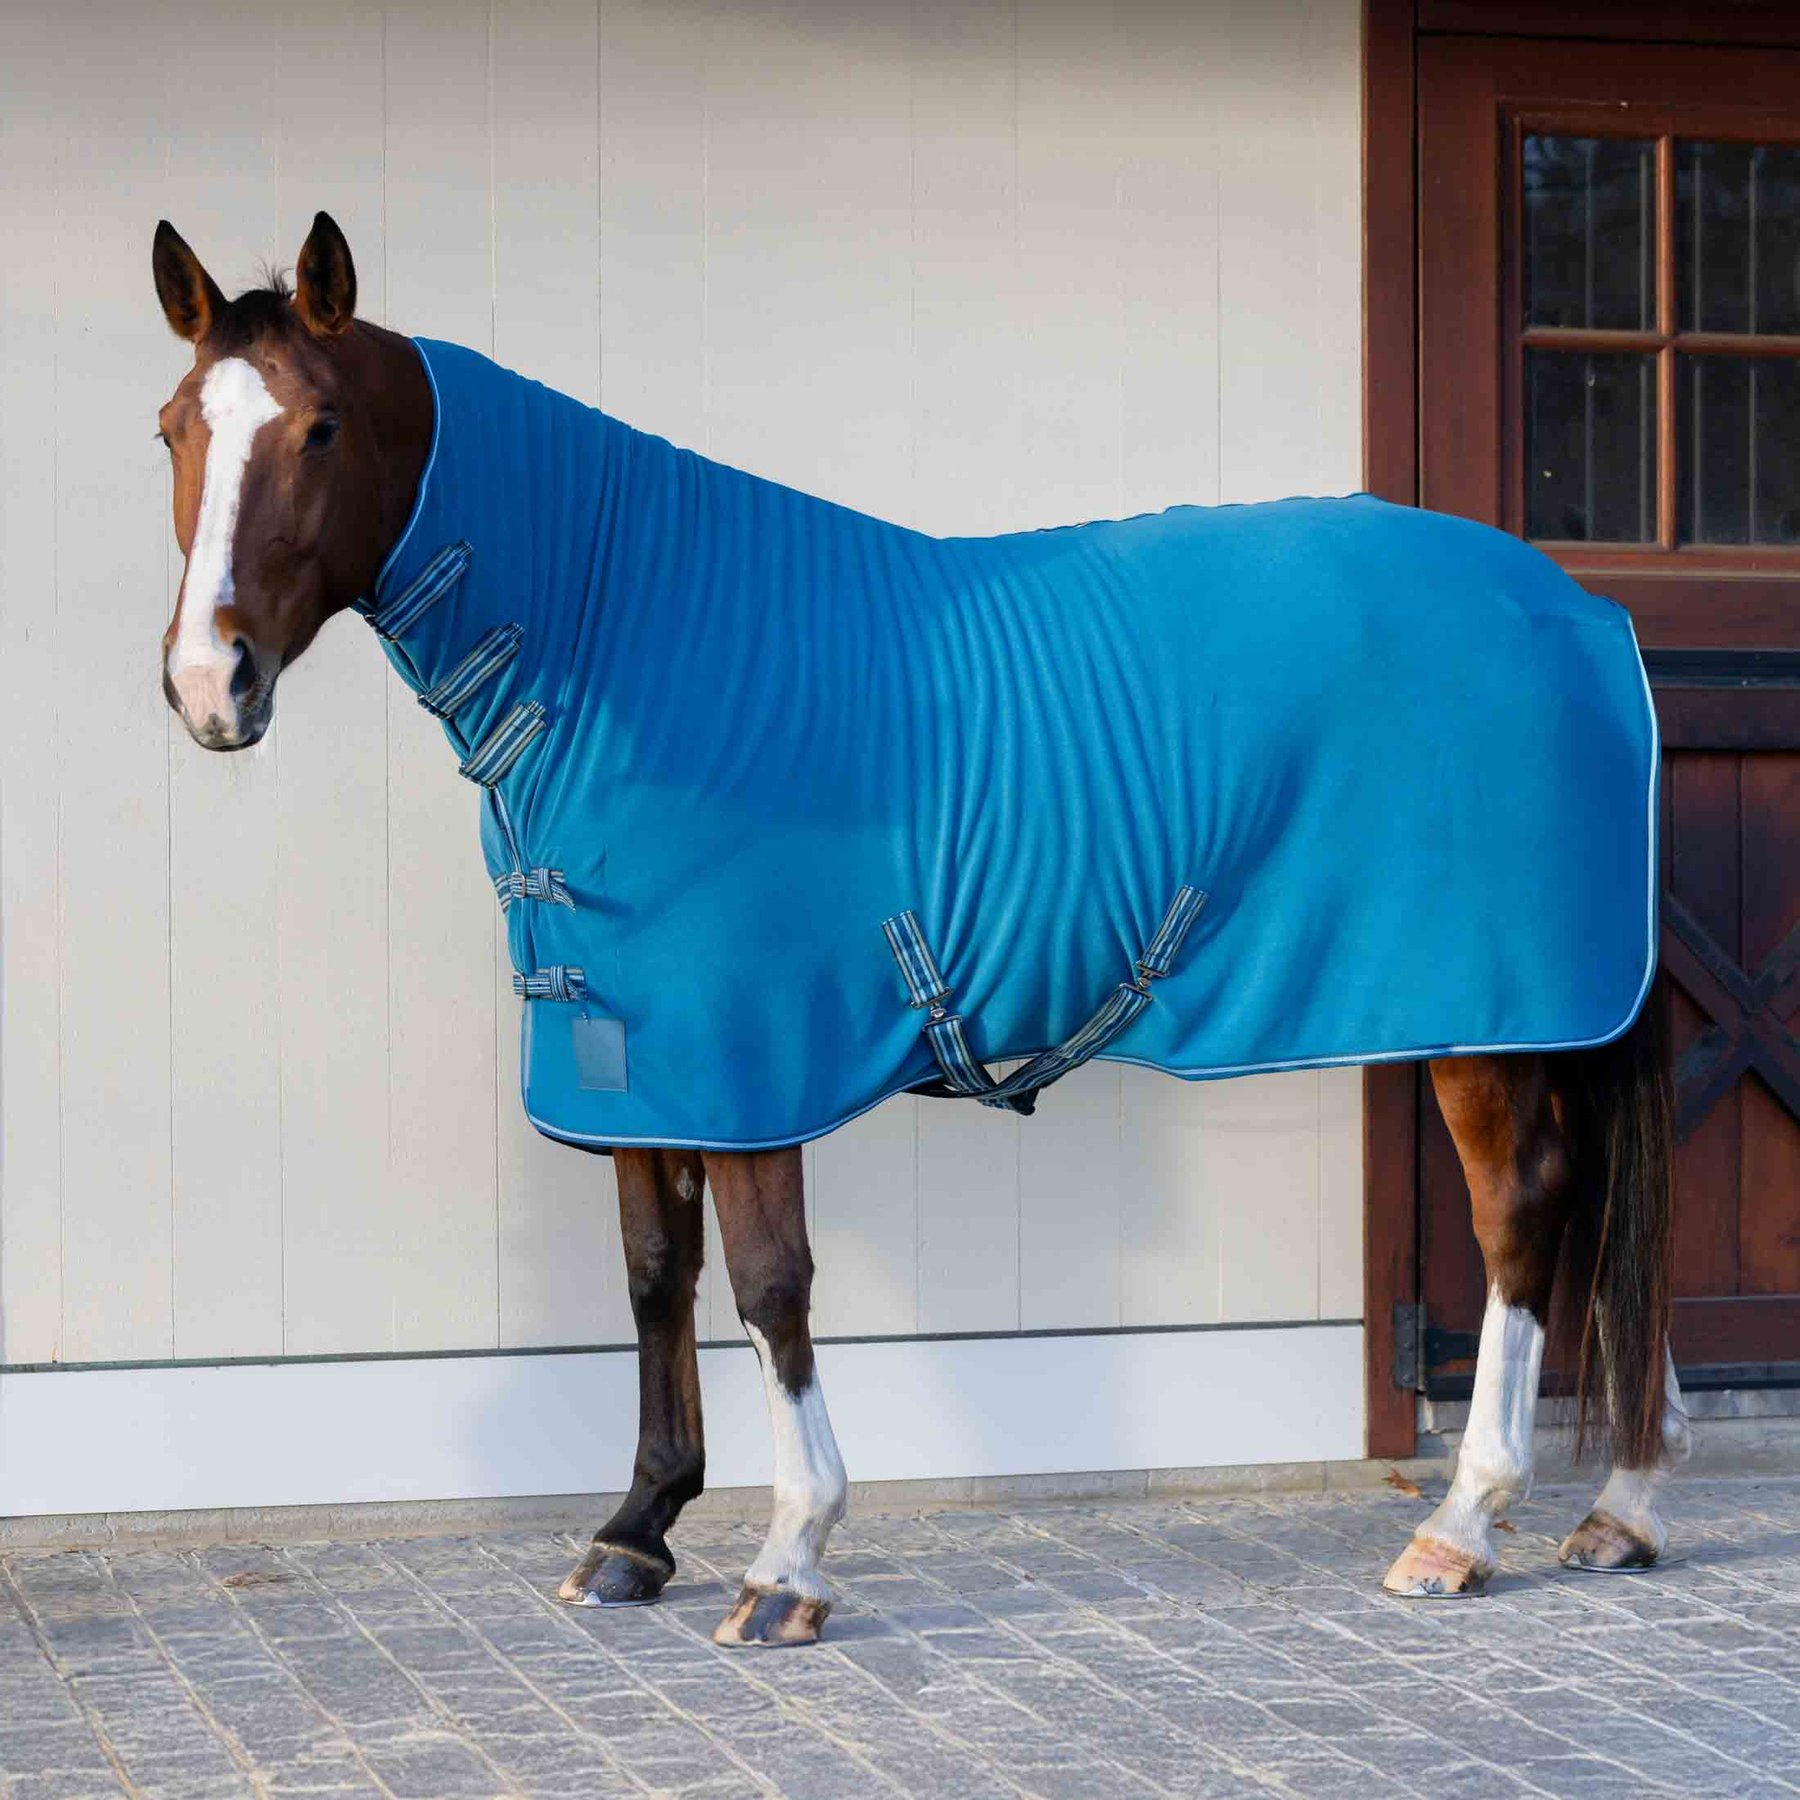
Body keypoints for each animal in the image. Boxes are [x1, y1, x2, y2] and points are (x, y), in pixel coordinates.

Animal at [151, 211, 1689, 1647]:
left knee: (1523, 1208)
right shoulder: (637, 1061)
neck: (629, 646)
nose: (210, 685)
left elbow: (770, 1288)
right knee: (1600, 1201)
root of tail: (1580, 613)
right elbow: (656, 1279)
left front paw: (789, 1559)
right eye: (173, 427)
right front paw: (637, 1531)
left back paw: (1465, 1523)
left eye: (322, 427)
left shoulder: (751, 1056)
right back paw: (1623, 1506)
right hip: (1553, 1014)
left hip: (1491, 1016)